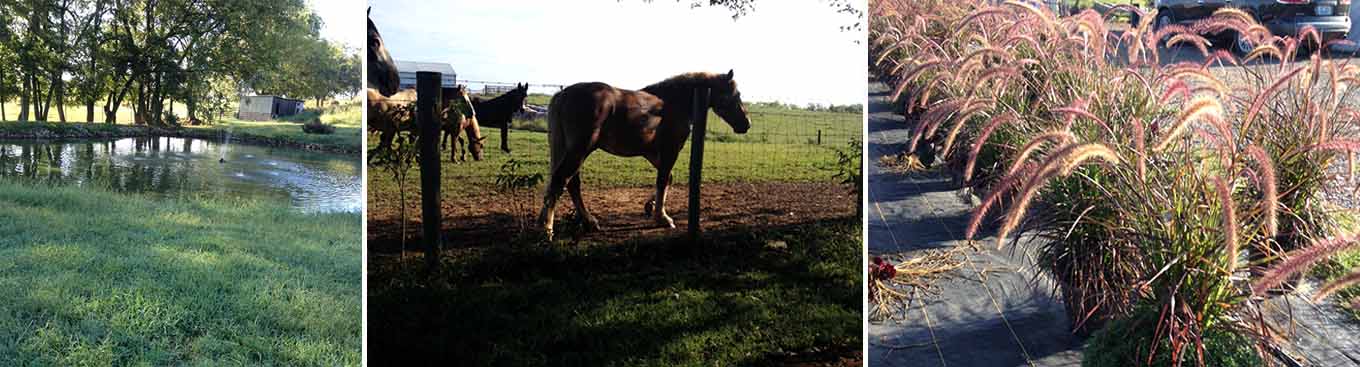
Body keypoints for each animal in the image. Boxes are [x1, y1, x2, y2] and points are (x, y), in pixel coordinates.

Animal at [535, 70, 756, 240]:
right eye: (736, 94)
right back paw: (547, 230)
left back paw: (586, 222)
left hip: (569, 150)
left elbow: (667, 179)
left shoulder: (653, 153)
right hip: (580, 149)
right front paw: (662, 218)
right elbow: (663, 180)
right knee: (561, 180)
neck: (672, 103)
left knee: (569, 183)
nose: (746, 124)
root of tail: (563, 95)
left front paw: (650, 206)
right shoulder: (670, 150)